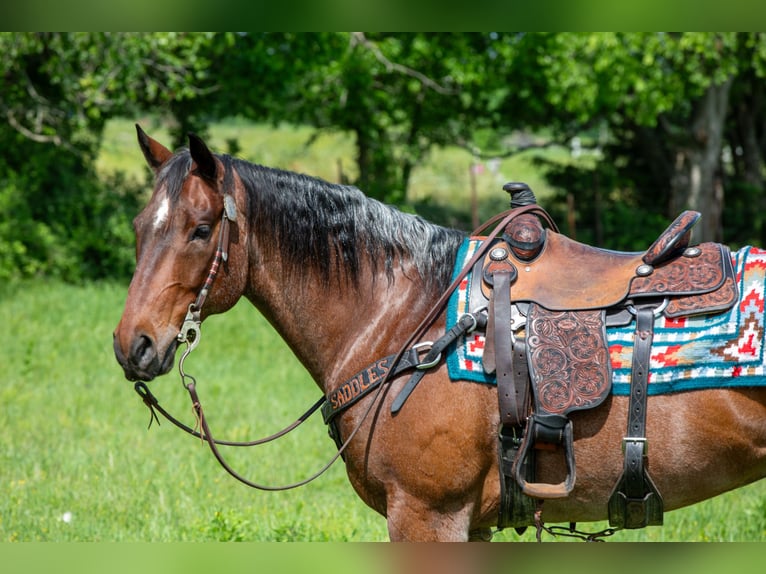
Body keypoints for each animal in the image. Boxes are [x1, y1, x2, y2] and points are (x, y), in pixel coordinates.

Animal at [114, 127, 766, 544]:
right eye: (140, 226)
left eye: (201, 230)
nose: (132, 345)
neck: (402, 316)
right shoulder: (465, 523)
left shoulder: (427, 515)